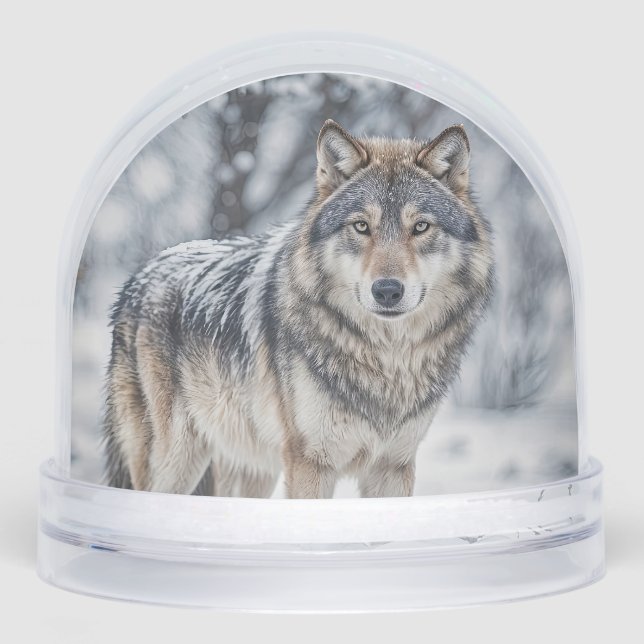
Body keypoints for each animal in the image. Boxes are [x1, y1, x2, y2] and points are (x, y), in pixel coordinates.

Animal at [102, 119, 494, 499]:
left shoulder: (393, 466)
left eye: (421, 227)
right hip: (175, 461)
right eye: (361, 226)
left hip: (251, 469)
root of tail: (138, 278)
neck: (386, 360)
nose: (386, 291)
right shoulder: (310, 462)